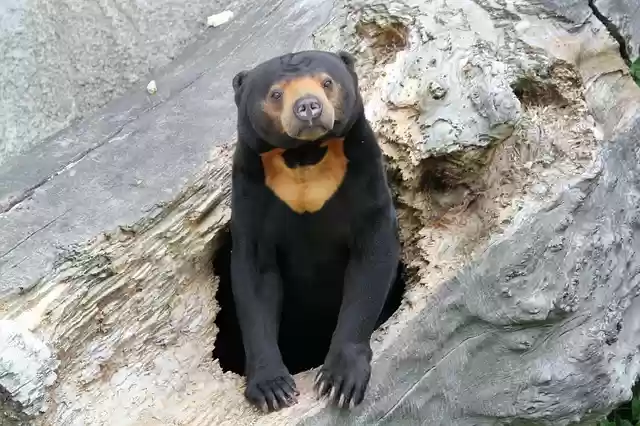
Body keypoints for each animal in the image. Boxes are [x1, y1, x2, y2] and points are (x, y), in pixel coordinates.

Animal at [229, 49, 400, 413]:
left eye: (327, 82)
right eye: (275, 94)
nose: (308, 106)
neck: (304, 156)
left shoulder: (362, 167)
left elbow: (372, 256)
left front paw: (340, 381)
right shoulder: (252, 187)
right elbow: (255, 278)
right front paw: (272, 388)